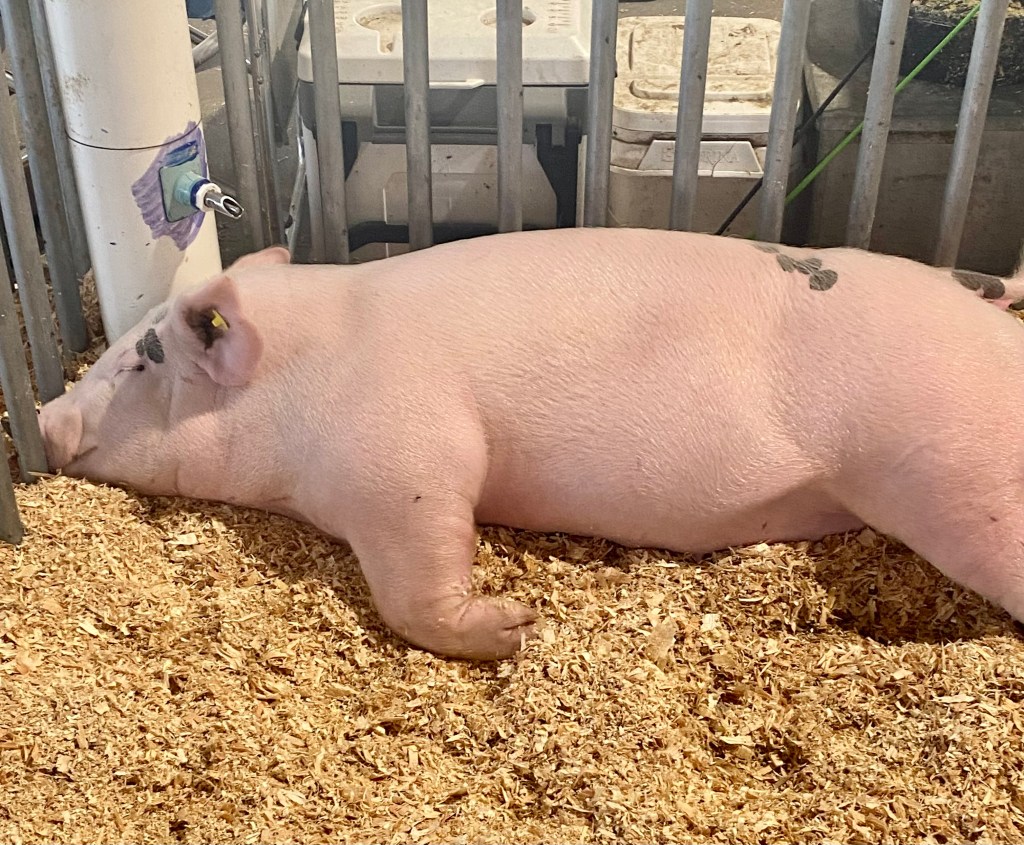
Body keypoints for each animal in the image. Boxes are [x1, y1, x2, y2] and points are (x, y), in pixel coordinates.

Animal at [37, 228, 1024, 659]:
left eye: (138, 360)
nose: (45, 417)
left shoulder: (407, 455)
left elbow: (420, 574)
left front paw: (518, 626)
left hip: (955, 467)